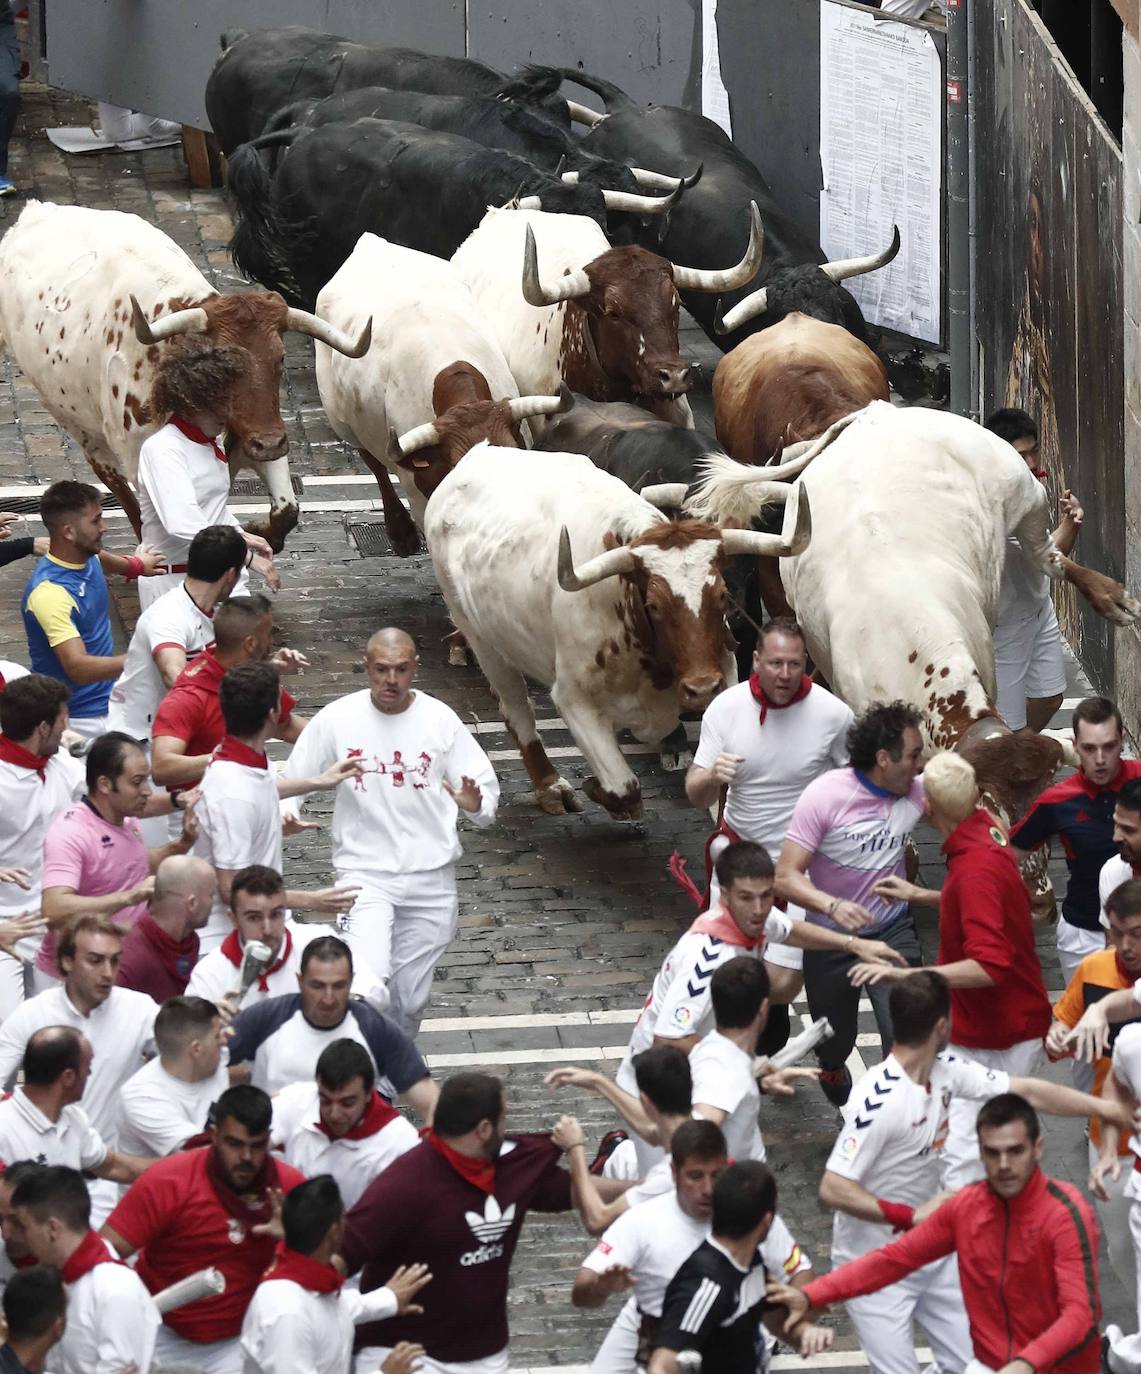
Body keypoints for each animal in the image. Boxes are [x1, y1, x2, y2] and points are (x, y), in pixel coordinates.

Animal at [0, 200, 368, 544]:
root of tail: (35, 212)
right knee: (115, 485)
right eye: (223, 365)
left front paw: (260, 533)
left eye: (279, 358)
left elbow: (286, 510)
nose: (269, 443)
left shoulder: (256, 426)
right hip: (75, 422)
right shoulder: (140, 456)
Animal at [423, 445, 808, 818]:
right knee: (516, 708)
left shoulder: (724, 676)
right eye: (653, 604)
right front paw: (599, 791)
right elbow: (624, 787)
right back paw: (550, 785)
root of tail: (474, 456)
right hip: (480, 636)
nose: (701, 688)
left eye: (722, 595)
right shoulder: (572, 698)